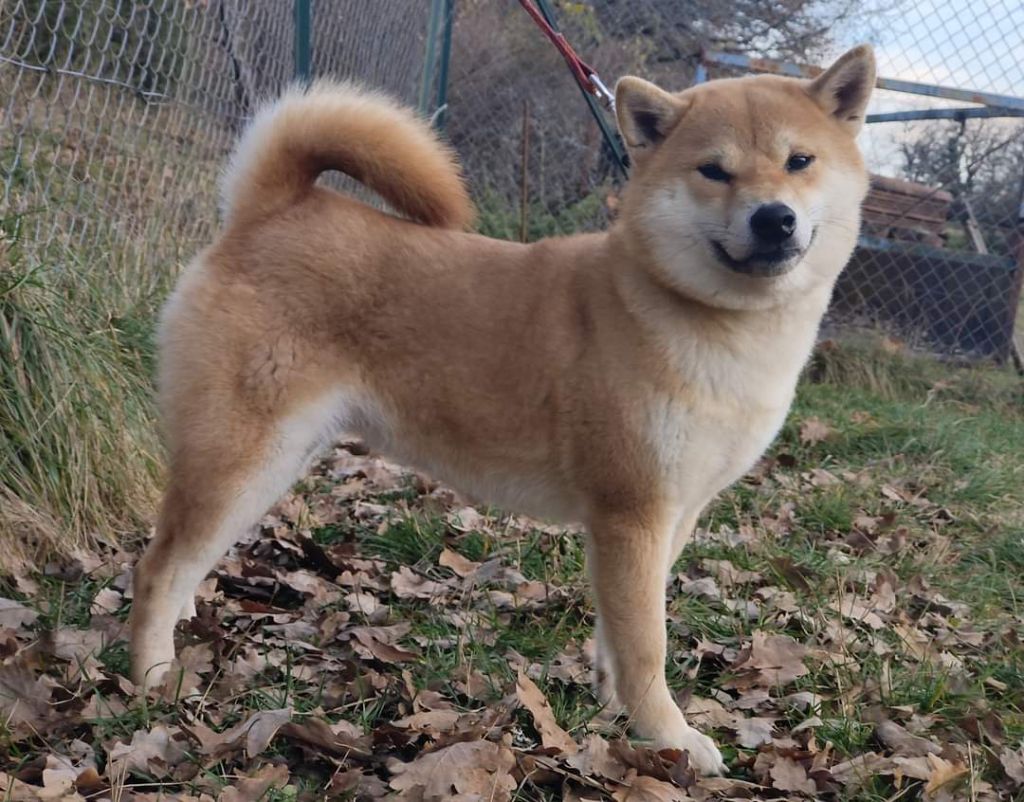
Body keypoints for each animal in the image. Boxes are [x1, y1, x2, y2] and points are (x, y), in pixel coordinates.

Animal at [132, 47, 876, 774]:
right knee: (158, 566)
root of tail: (271, 210)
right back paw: (151, 676)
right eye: (714, 170)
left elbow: (619, 633)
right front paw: (669, 737)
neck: (697, 317)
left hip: (274, 461)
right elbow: (648, 645)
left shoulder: (670, 516)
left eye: (799, 160)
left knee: (185, 556)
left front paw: (614, 707)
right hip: (244, 458)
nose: (773, 217)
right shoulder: (632, 512)